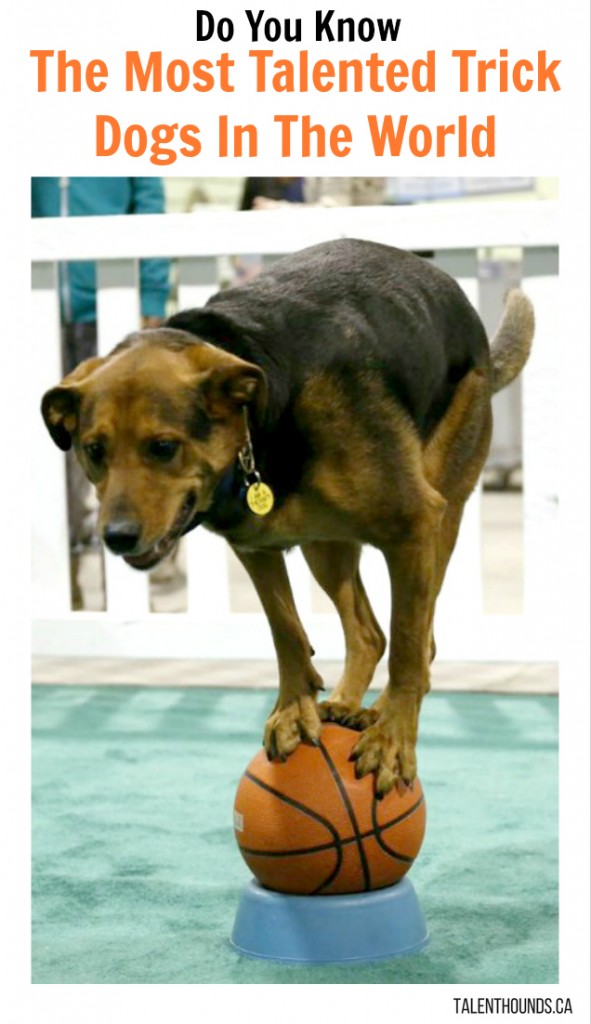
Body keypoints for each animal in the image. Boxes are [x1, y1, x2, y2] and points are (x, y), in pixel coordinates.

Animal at [39, 237, 532, 790]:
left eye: (164, 447)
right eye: (93, 450)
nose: (117, 537)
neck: (259, 428)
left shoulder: (413, 527)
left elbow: (407, 647)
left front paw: (391, 741)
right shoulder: (255, 547)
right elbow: (287, 632)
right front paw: (296, 710)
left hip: (440, 518)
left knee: (419, 641)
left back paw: (380, 712)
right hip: (326, 548)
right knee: (368, 632)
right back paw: (344, 702)